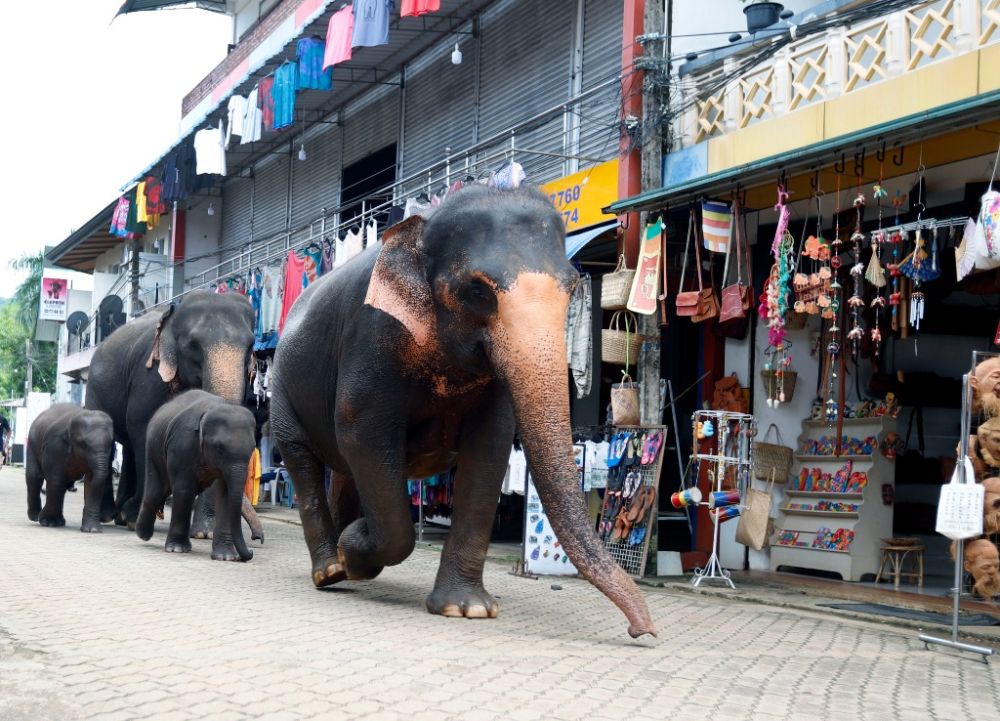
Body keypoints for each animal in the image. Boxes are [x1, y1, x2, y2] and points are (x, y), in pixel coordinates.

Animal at [25, 404, 114, 532]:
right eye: (83, 444)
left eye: (111, 443)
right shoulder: (54, 446)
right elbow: (55, 479)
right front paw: (48, 523)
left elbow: (91, 482)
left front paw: (92, 530)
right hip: (32, 443)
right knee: (34, 477)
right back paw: (35, 517)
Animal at [85, 290, 255, 529]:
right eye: (193, 344)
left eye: (251, 346)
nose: (258, 536)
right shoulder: (148, 376)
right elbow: (144, 428)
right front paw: (134, 517)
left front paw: (204, 532)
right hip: (94, 390)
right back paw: (110, 515)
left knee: (128, 448)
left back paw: (120, 516)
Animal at [135, 390, 257, 561]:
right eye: (220, 448)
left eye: (253, 448)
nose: (251, 552)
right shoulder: (183, 444)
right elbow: (185, 490)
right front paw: (177, 550)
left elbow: (226, 495)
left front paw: (226, 557)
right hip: (153, 447)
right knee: (156, 491)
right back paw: (143, 534)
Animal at [271, 185, 656, 638]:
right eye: (477, 291)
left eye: (573, 286)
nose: (642, 630)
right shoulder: (373, 333)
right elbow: (360, 430)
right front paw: (357, 549)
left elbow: (490, 444)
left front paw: (466, 609)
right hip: (282, 389)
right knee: (305, 463)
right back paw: (331, 569)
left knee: (345, 471)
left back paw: (344, 567)